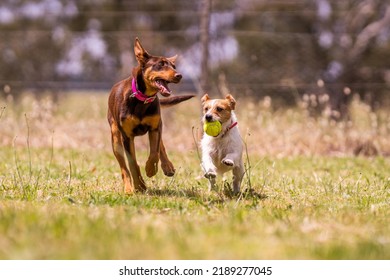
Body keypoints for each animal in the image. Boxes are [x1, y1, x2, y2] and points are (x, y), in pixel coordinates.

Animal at [106, 38, 193, 194]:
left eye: (174, 66)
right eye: (160, 65)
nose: (179, 75)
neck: (143, 99)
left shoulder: (155, 127)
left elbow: (154, 153)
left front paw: (151, 169)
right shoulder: (127, 136)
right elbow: (132, 163)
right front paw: (139, 185)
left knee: (160, 146)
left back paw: (167, 166)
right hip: (115, 138)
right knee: (123, 168)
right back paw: (128, 188)